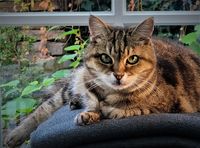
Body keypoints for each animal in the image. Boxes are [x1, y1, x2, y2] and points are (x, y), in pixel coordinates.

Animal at [4, 15, 200, 147]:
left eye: (133, 59)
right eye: (105, 58)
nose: (118, 75)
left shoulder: (169, 103)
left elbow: (135, 108)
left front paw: (108, 110)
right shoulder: (85, 83)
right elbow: (48, 108)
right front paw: (89, 111)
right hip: (73, 82)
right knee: (45, 107)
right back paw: (16, 134)